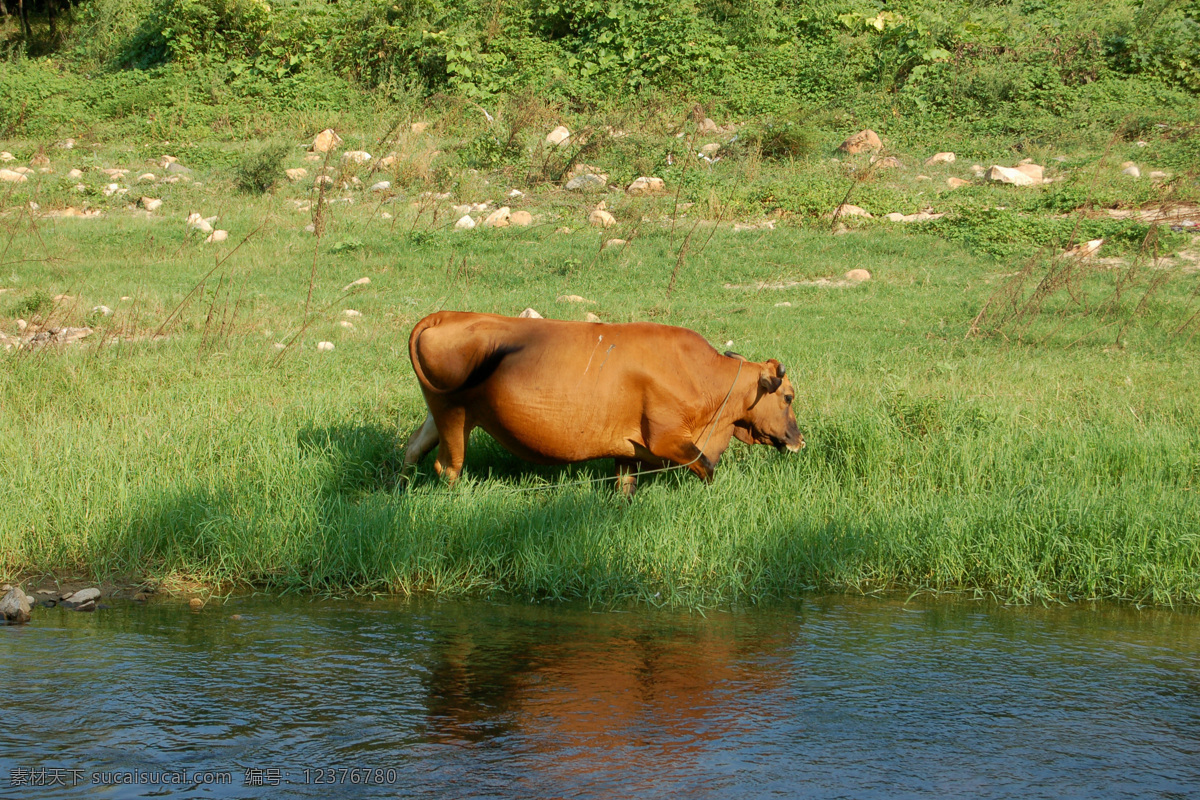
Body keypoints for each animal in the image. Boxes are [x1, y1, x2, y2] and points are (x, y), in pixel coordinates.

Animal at [403, 311, 806, 494]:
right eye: (788, 397)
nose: (799, 440)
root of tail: (448, 315)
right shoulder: (668, 440)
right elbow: (707, 468)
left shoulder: (627, 450)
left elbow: (624, 487)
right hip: (453, 415)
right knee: (447, 467)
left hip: (442, 414)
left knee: (413, 448)